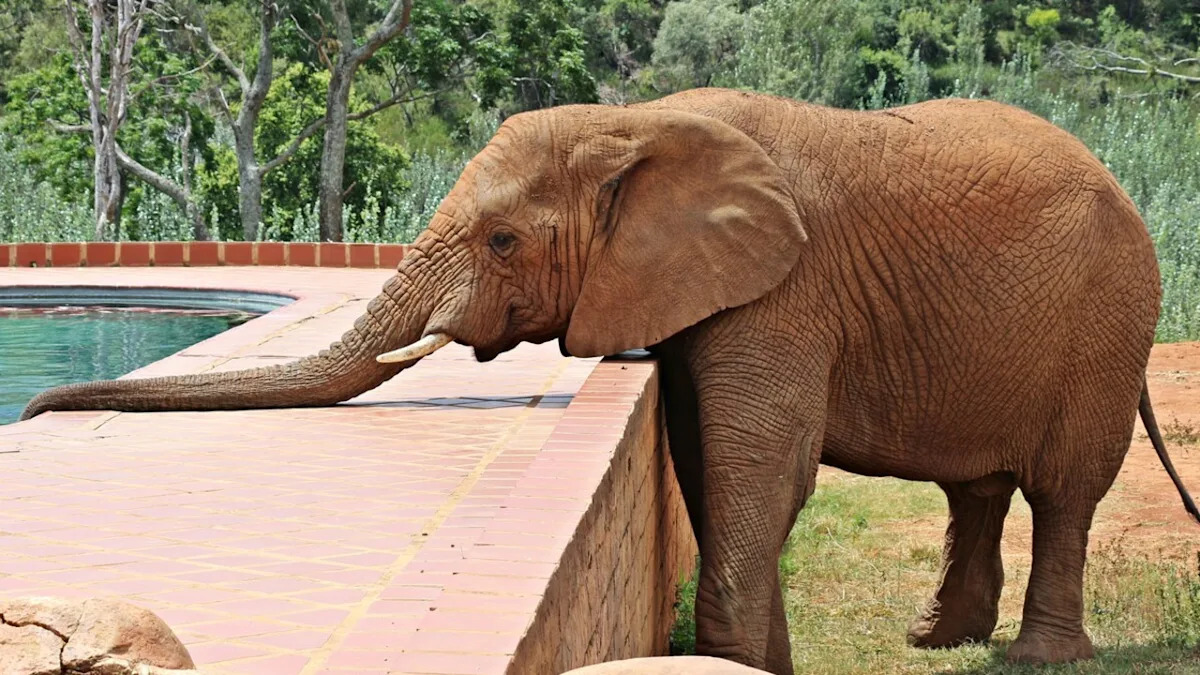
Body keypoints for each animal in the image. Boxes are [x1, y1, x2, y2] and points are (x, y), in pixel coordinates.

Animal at [20, 88, 1200, 674]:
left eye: (501, 241)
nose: (31, 407)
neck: (635, 124)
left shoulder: (784, 285)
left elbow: (758, 470)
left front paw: (739, 664)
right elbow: (706, 456)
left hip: (1106, 321)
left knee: (1063, 490)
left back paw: (1039, 659)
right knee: (977, 486)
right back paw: (934, 643)